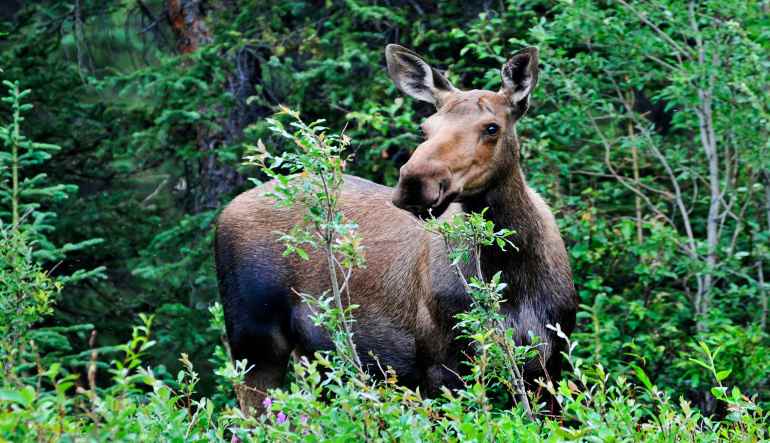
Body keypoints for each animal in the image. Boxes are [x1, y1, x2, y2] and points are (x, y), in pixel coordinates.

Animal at [213, 44, 572, 412]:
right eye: (426, 127)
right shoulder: (439, 362)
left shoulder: (550, 359)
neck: (513, 274)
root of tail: (226, 210)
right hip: (253, 340)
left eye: (491, 127)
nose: (416, 181)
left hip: (311, 355)